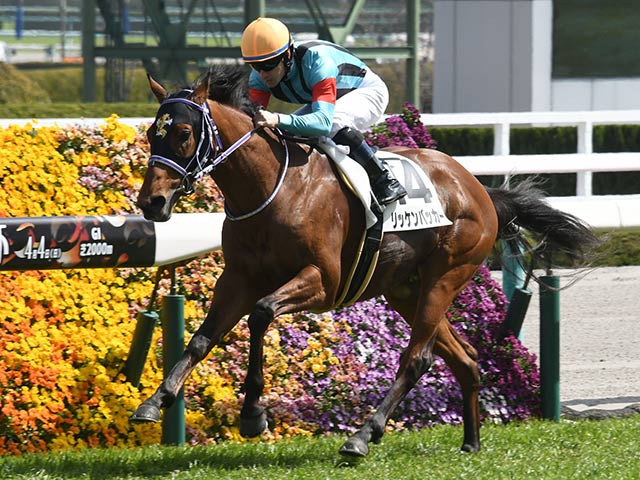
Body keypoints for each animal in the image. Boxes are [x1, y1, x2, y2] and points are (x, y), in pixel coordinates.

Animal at [130, 65, 600, 456]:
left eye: (184, 133)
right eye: (153, 133)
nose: (152, 202)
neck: (272, 189)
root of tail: (480, 190)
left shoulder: (322, 281)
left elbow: (261, 314)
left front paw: (252, 415)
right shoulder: (238, 278)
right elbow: (201, 339)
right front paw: (155, 401)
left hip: (446, 275)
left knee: (417, 359)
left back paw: (362, 435)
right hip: (406, 290)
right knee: (463, 358)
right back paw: (471, 443)